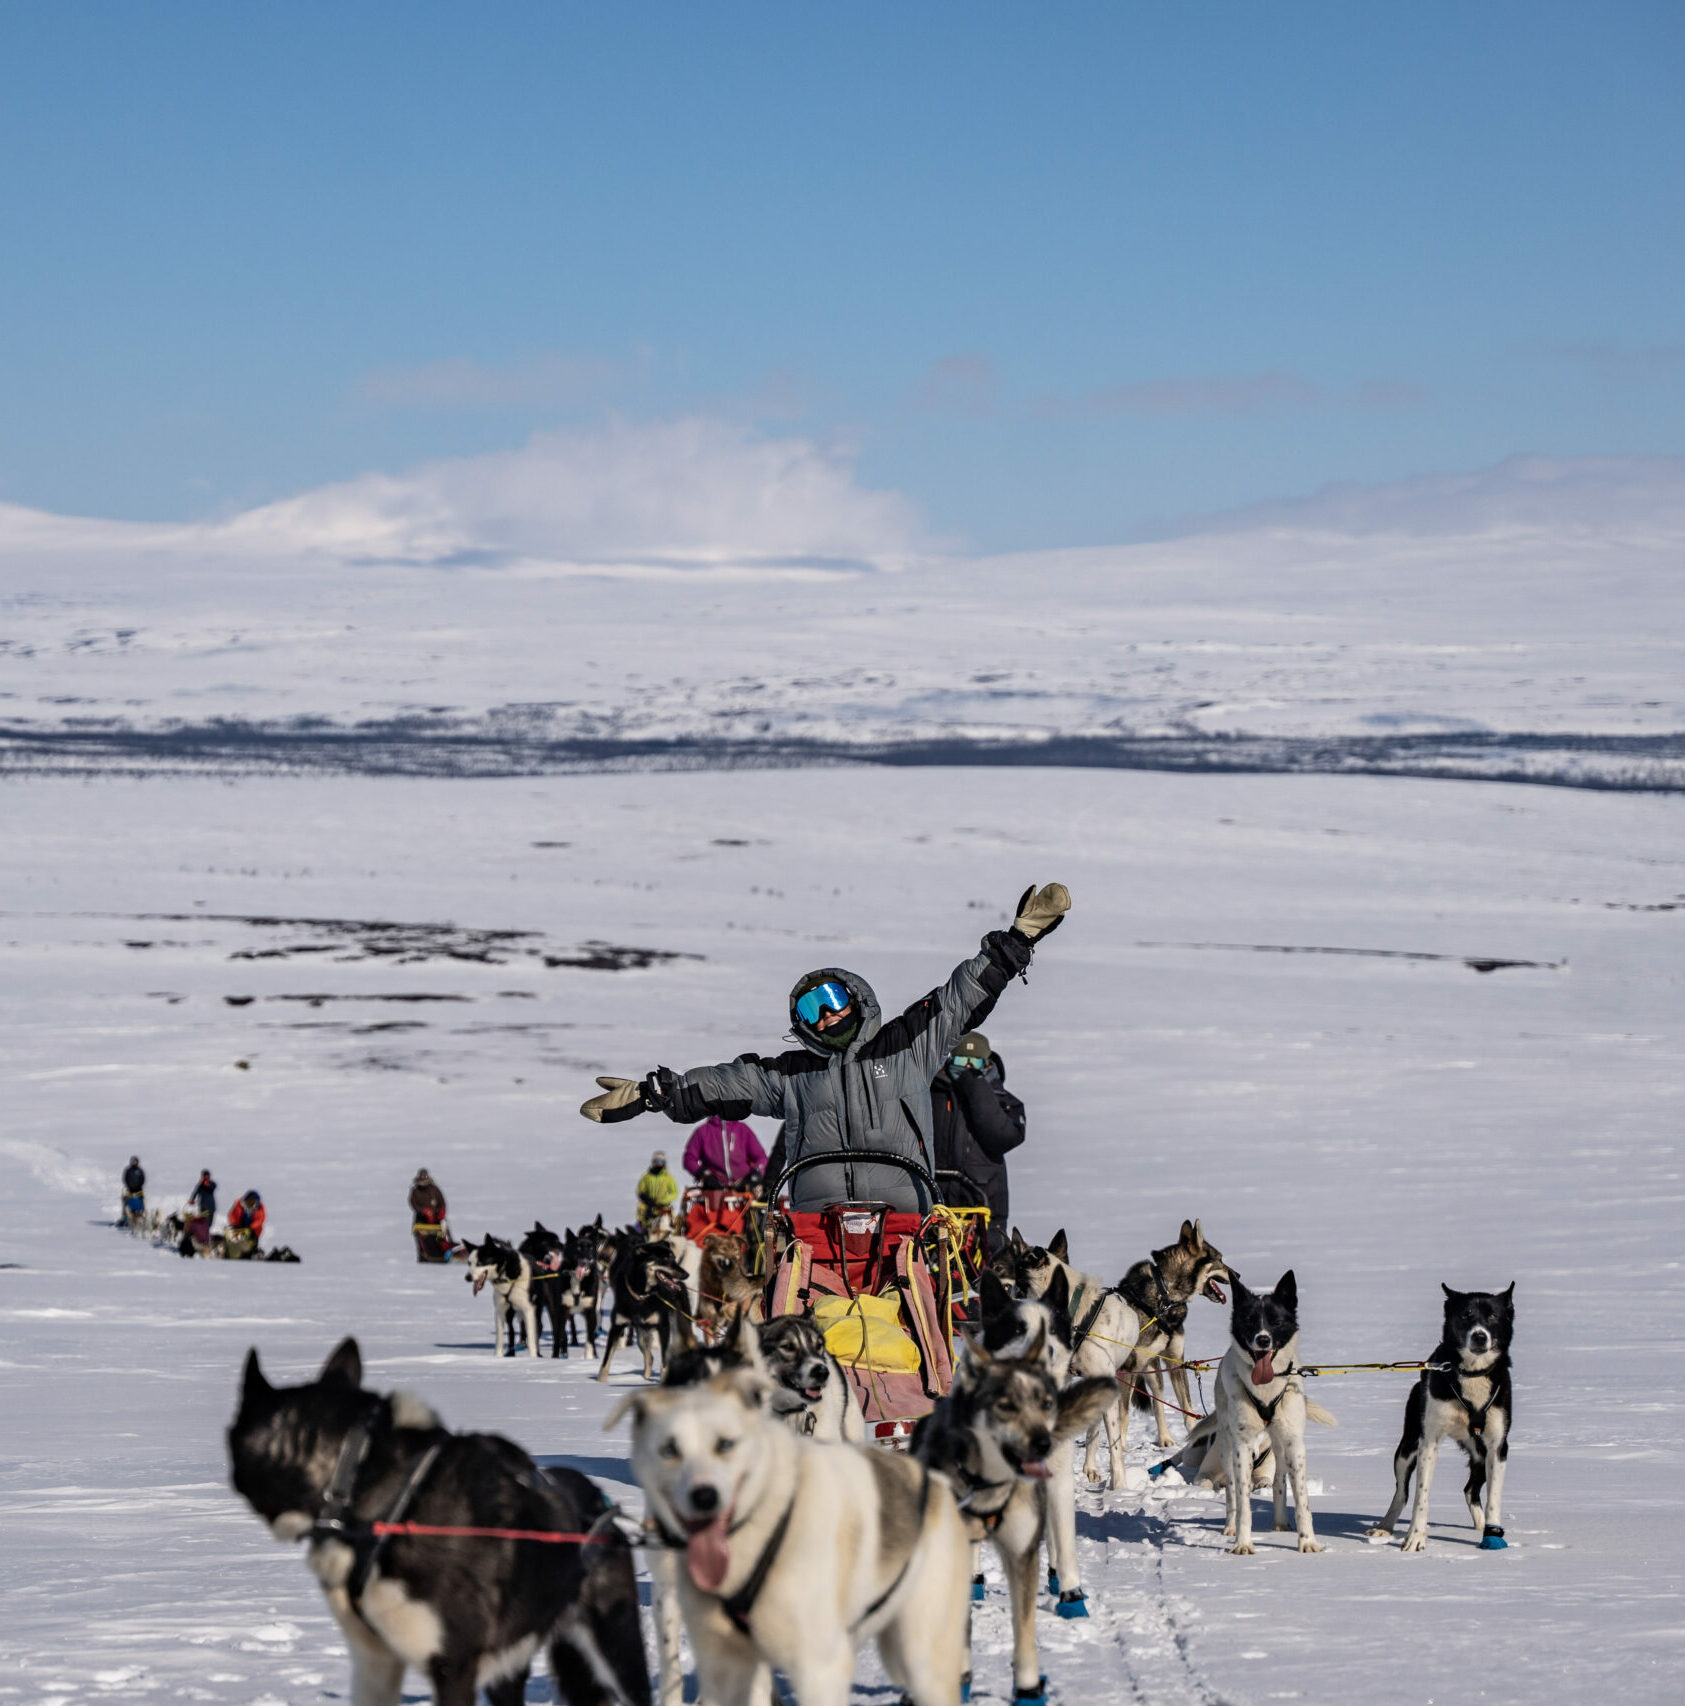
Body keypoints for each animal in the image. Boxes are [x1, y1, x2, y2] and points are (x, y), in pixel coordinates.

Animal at [907, 1330, 1118, 1706]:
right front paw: (958, 1679)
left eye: (1046, 1403)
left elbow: (1025, 1629)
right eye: (1005, 1406)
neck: (986, 1485)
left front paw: (1028, 1688)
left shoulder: (1022, 1555)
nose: (1043, 1443)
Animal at [1371, 1282, 1514, 1549]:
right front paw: (1416, 1537)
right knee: (1402, 1492)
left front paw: (1492, 1534)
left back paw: (1480, 1524)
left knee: (1470, 1490)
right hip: (1407, 1448)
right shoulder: (1429, 1442)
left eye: (1493, 1316)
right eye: (1466, 1314)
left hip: (1480, 1454)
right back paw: (1385, 1526)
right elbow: (1421, 1495)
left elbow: (1494, 1497)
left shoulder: (1497, 1446)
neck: (1471, 1374)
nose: (1480, 1336)